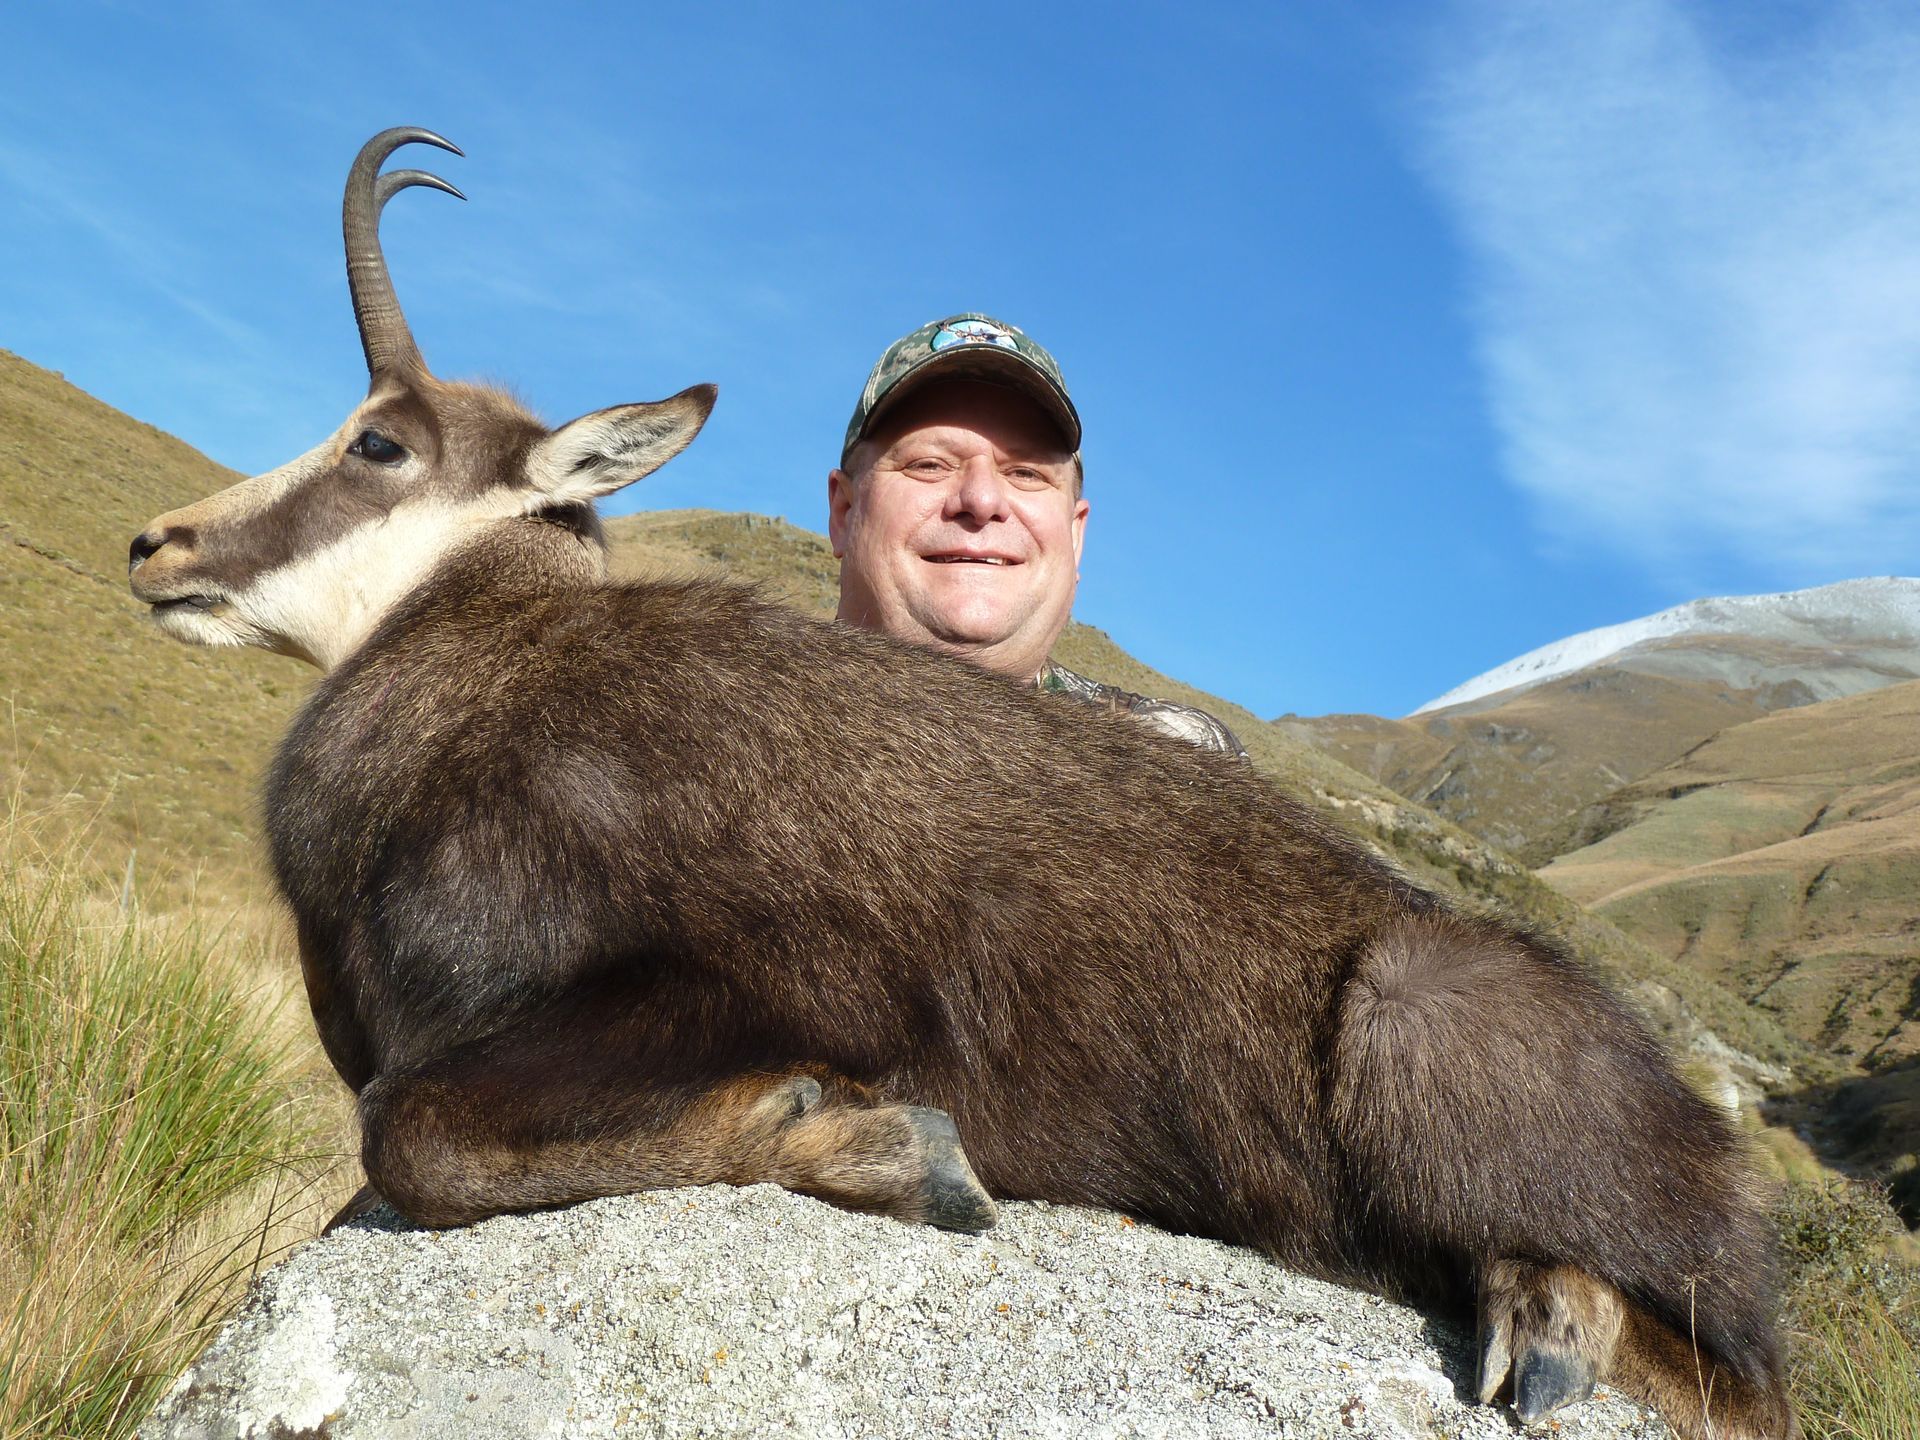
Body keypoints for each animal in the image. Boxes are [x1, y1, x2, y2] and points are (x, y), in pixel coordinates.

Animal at [128, 129, 1799, 1440]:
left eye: (381, 442)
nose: (158, 546)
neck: (492, 670)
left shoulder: (743, 983)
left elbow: (411, 1132)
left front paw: (875, 1141)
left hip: (1414, 1030)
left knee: (1729, 1375)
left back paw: (1549, 1317)